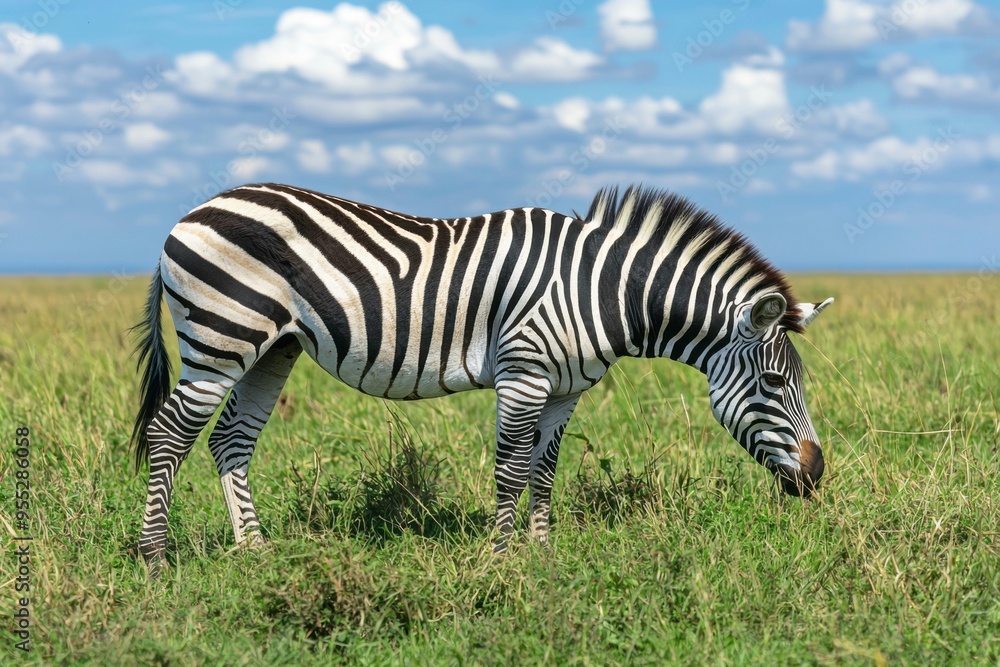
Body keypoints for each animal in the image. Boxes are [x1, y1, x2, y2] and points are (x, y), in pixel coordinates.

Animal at [130, 182, 833, 569]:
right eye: (775, 385)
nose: (817, 475)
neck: (603, 291)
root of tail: (191, 213)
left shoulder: (566, 389)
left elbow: (544, 471)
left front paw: (542, 555)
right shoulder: (523, 372)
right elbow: (511, 469)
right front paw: (501, 560)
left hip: (272, 348)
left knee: (230, 440)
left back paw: (255, 552)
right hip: (221, 336)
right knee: (169, 434)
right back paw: (155, 559)